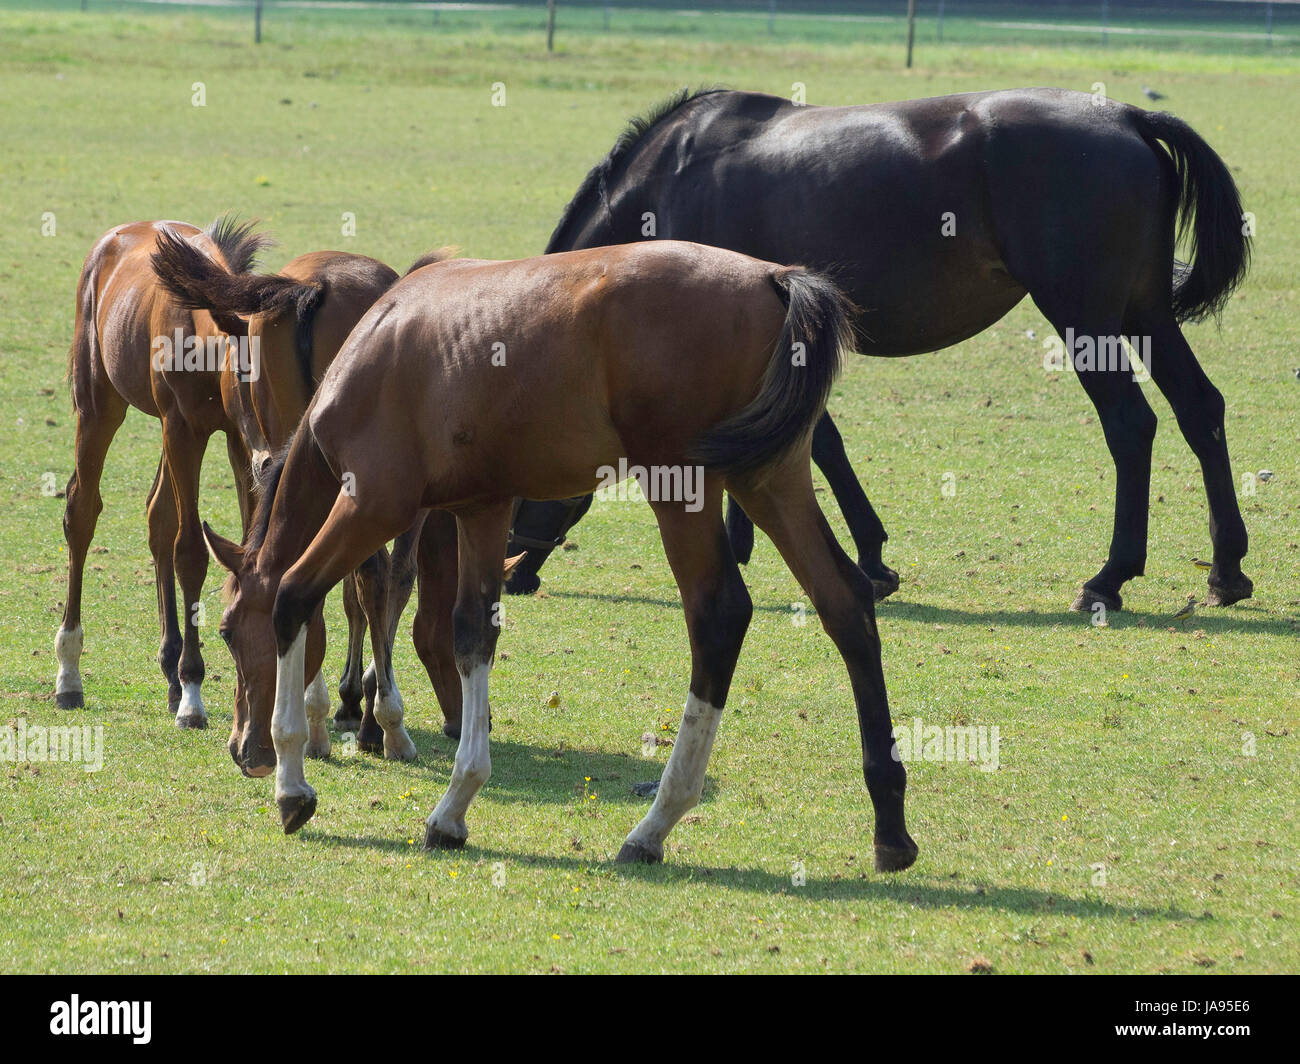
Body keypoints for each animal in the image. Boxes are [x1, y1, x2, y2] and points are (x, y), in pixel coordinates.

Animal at [57, 217, 269, 728]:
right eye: (250, 376)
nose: (276, 456)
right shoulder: (184, 430)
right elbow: (190, 551)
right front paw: (194, 693)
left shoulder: (236, 440)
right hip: (99, 407)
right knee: (82, 511)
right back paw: (69, 674)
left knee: (158, 517)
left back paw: (169, 671)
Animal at [149, 233, 461, 774]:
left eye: (226, 632)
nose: (244, 751)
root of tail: (312, 287)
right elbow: (391, 582)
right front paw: (373, 717)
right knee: (369, 577)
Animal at [200, 240, 918, 871]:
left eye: (228, 631)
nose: (244, 752)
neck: (376, 352)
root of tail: (773, 278)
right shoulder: (482, 510)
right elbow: (470, 635)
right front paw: (454, 806)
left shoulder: (372, 504)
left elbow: (294, 594)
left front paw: (293, 785)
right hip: (771, 479)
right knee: (844, 602)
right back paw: (890, 826)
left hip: (683, 487)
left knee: (719, 616)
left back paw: (655, 824)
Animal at [506, 87, 1253, 616]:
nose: (513, 568)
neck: (670, 185)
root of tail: (1129, 117)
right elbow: (794, 441)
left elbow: (813, 444)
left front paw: (865, 560)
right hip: (1145, 314)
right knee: (1200, 410)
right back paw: (1227, 570)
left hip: (1085, 318)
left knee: (1131, 425)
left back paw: (1110, 578)